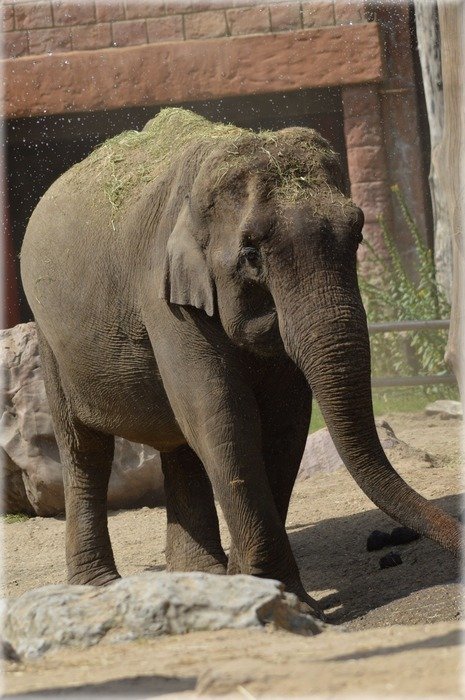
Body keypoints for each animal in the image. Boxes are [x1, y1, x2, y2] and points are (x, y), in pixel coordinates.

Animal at [20, 106, 458, 616]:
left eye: (357, 232)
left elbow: (285, 422)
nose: (457, 542)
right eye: (250, 253)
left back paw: (200, 575)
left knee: (180, 442)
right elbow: (223, 413)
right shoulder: (164, 296)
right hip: (49, 336)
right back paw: (101, 586)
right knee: (85, 448)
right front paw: (282, 598)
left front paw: (257, 586)